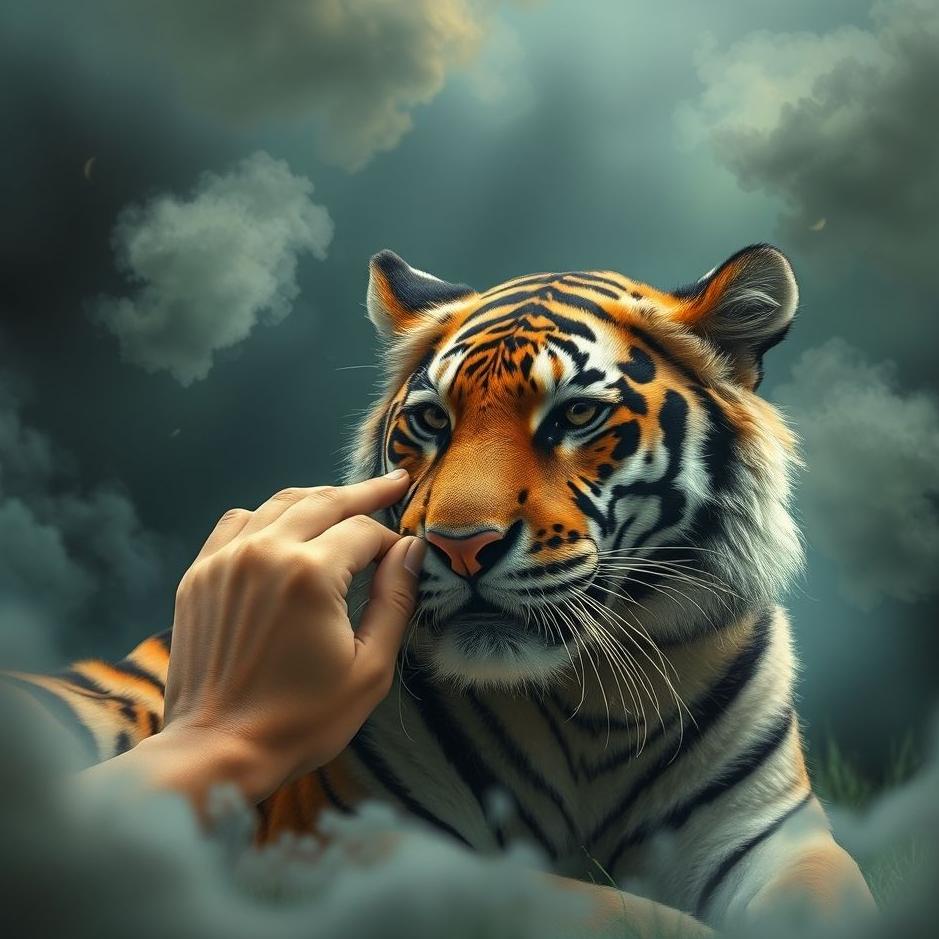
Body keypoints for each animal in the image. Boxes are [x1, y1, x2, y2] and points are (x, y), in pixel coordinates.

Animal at [3, 244, 875, 934]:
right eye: (430, 421)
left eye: (576, 416)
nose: (460, 546)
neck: (596, 700)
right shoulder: (360, 840)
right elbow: (592, 907)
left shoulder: (771, 837)